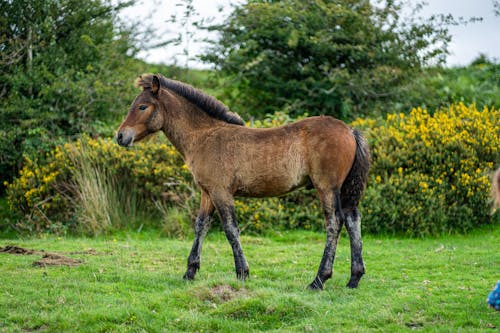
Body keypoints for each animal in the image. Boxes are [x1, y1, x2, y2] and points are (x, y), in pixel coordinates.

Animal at [115, 73, 370, 288]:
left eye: (142, 106)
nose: (120, 136)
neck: (204, 137)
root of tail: (350, 130)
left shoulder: (221, 192)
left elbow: (230, 229)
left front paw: (242, 272)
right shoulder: (207, 193)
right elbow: (201, 226)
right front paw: (190, 272)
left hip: (326, 187)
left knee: (334, 222)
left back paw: (318, 280)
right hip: (343, 189)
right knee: (352, 219)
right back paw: (354, 279)